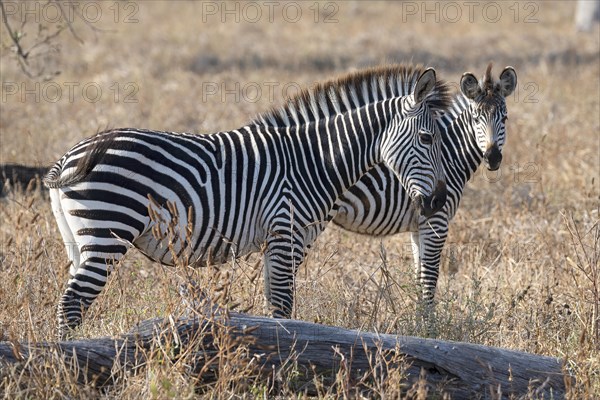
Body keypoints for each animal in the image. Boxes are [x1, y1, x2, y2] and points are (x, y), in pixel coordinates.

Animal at [44, 65, 452, 338]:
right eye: (428, 139)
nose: (437, 202)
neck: (314, 160)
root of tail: (68, 157)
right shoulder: (287, 232)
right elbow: (283, 305)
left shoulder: (285, 240)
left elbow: (276, 302)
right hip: (108, 231)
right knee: (73, 303)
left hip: (79, 240)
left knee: (71, 300)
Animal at [330, 64, 516, 304]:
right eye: (476, 119)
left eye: (505, 119)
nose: (492, 158)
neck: (448, 155)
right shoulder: (436, 221)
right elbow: (429, 282)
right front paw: (427, 316)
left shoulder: (418, 226)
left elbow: (419, 279)